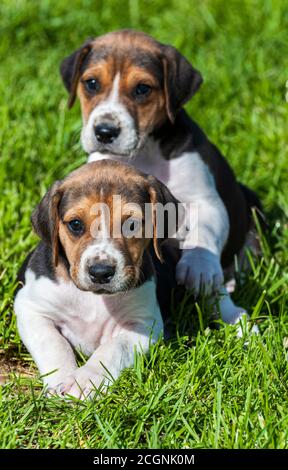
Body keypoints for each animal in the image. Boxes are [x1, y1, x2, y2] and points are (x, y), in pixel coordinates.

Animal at [14, 160, 180, 398]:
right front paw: (61, 378)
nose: (100, 272)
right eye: (75, 224)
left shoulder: (144, 323)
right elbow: (54, 343)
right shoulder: (31, 309)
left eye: (132, 225)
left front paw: (83, 380)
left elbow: (113, 349)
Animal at [60, 27, 264, 324]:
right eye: (92, 83)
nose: (105, 132)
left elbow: (204, 228)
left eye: (143, 88)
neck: (144, 152)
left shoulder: (205, 199)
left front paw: (200, 267)